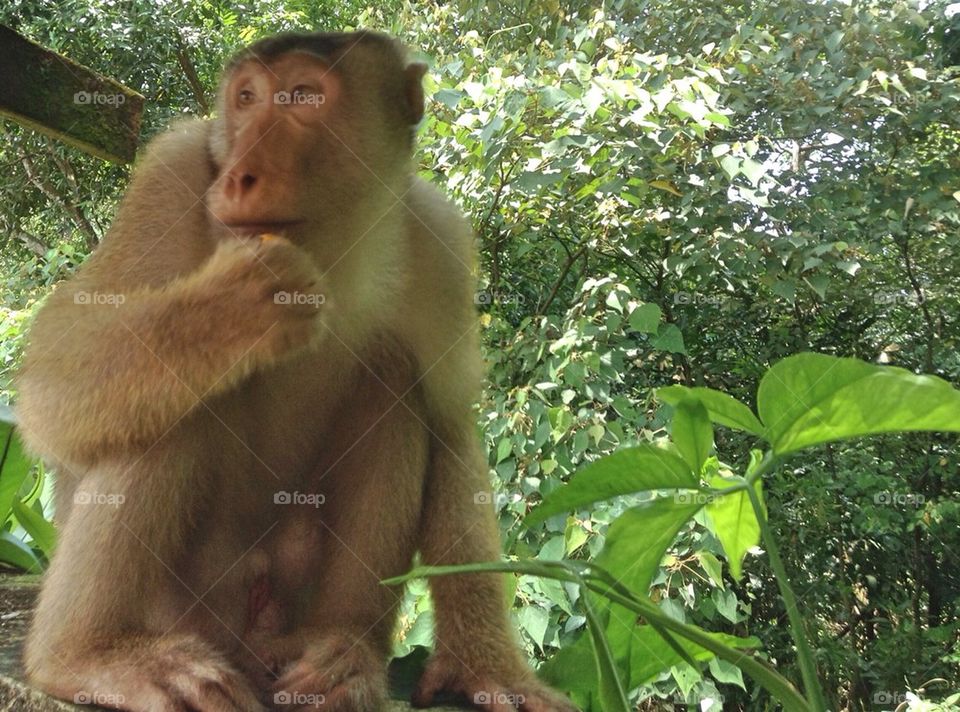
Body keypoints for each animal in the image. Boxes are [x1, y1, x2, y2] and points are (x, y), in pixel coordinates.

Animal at [14, 30, 577, 712]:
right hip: (186, 608)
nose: (239, 176)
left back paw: (341, 654)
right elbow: (54, 371)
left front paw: (487, 669)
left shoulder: (437, 237)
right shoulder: (171, 173)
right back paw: (85, 656)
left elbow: (450, 429)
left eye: (304, 96)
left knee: (393, 375)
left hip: (288, 601)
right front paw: (235, 308)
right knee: (172, 401)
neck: (330, 244)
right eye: (246, 98)